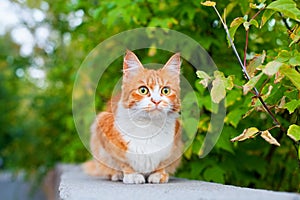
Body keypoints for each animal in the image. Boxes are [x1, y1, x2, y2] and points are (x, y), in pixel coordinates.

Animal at [82, 50, 183, 184]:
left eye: (165, 91)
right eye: (143, 90)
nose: (156, 101)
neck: (148, 127)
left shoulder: (173, 147)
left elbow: (162, 163)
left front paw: (159, 175)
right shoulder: (104, 130)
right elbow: (124, 162)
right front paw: (132, 175)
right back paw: (116, 175)